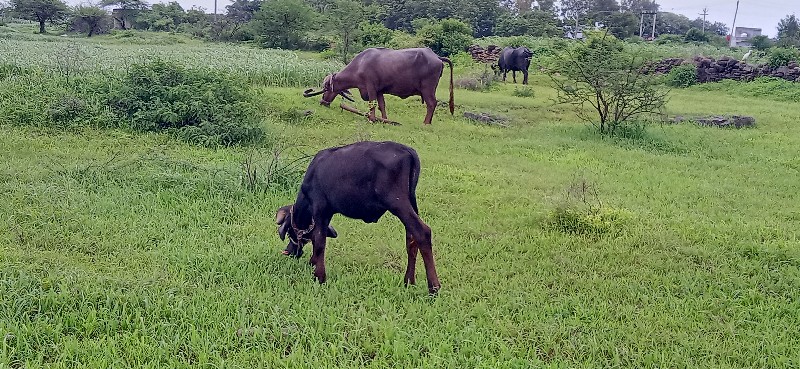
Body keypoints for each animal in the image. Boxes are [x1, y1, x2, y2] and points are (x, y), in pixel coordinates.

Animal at [274, 140, 438, 294]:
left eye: (289, 232)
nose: (287, 251)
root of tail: (408, 151)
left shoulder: (321, 210)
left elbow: (319, 242)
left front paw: (319, 276)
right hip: (411, 203)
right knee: (411, 239)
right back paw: (409, 281)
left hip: (398, 204)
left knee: (422, 233)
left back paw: (433, 288)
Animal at [304, 47, 454, 125]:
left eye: (326, 88)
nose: (322, 102)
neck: (359, 65)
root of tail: (437, 57)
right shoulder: (380, 91)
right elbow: (382, 105)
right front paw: (384, 119)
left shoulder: (370, 87)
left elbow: (372, 104)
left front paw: (372, 119)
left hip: (428, 89)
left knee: (432, 103)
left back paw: (426, 123)